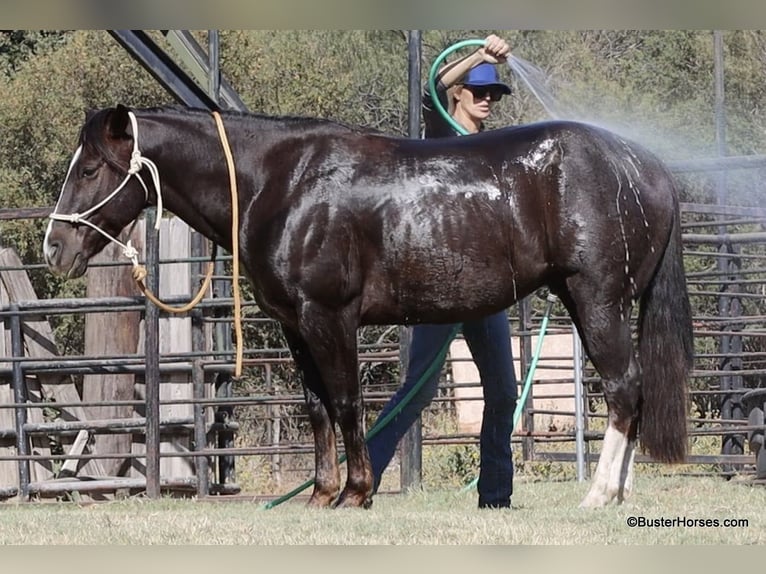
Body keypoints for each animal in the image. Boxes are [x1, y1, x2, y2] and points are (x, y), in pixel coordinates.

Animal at [43, 104, 693, 509]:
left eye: (92, 167)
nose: (54, 247)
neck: (278, 183)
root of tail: (646, 166)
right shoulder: (296, 327)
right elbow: (317, 410)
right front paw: (320, 493)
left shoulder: (329, 318)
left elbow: (347, 400)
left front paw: (356, 491)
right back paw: (620, 492)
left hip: (599, 301)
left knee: (624, 388)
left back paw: (600, 494)